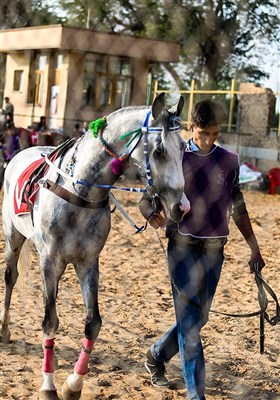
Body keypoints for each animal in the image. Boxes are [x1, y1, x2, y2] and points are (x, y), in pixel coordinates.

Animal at [0, 92, 190, 398]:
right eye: (159, 150)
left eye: (184, 148)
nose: (180, 207)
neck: (79, 192)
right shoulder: (50, 261)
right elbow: (50, 321)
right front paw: (48, 384)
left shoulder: (88, 262)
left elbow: (93, 323)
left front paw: (73, 384)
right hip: (13, 238)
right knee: (10, 277)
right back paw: (4, 330)